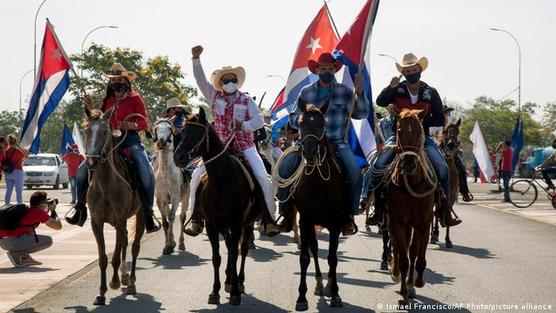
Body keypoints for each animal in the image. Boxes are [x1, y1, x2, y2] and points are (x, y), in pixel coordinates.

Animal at [81, 108, 146, 304]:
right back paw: (125, 277)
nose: (91, 162)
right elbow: (103, 258)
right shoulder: (96, 223)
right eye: (86, 131)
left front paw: (114, 282)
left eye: (104, 132)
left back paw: (130, 282)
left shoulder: (119, 222)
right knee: (125, 241)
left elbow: (115, 257)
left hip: (140, 215)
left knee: (134, 247)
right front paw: (101, 293)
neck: (105, 185)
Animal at [153, 118, 190, 255]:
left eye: (169, 128)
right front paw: (167, 245)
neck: (165, 172)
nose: (161, 142)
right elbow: (165, 222)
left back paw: (180, 243)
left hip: (185, 199)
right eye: (156, 128)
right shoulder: (160, 198)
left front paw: (169, 245)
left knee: (182, 217)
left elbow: (172, 217)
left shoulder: (175, 197)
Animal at [175, 107, 264, 304]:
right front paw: (215, 291)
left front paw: (235, 293)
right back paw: (229, 279)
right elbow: (217, 257)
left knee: (242, 249)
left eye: (198, 133)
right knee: (231, 247)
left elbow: (236, 252)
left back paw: (239, 281)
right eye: (182, 132)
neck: (221, 181)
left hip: (246, 224)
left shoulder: (237, 224)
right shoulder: (212, 225)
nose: (178, 157)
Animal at [276, 105, 350, 310]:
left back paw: (328, 286)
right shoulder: (306, 220)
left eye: (322, 123)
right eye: (301, 123)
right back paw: (318, 284)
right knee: (314, 249)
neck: (319, 183)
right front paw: (302, 297)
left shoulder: (335, 223)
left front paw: (335, 294)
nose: (309, 153)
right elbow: (305, 257)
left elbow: (333, 258)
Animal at [384, 108, 436, 304]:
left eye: (420, 131)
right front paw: (403, 294)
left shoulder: (424, 222)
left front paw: (417, 283)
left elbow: (418, 256)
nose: (408, 164)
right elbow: (404, 258)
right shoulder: (398, 221)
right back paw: (396, 274)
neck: (412, 183)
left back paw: (411, 284)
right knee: (399, 248)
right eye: (398, 130)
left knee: (411, 250)